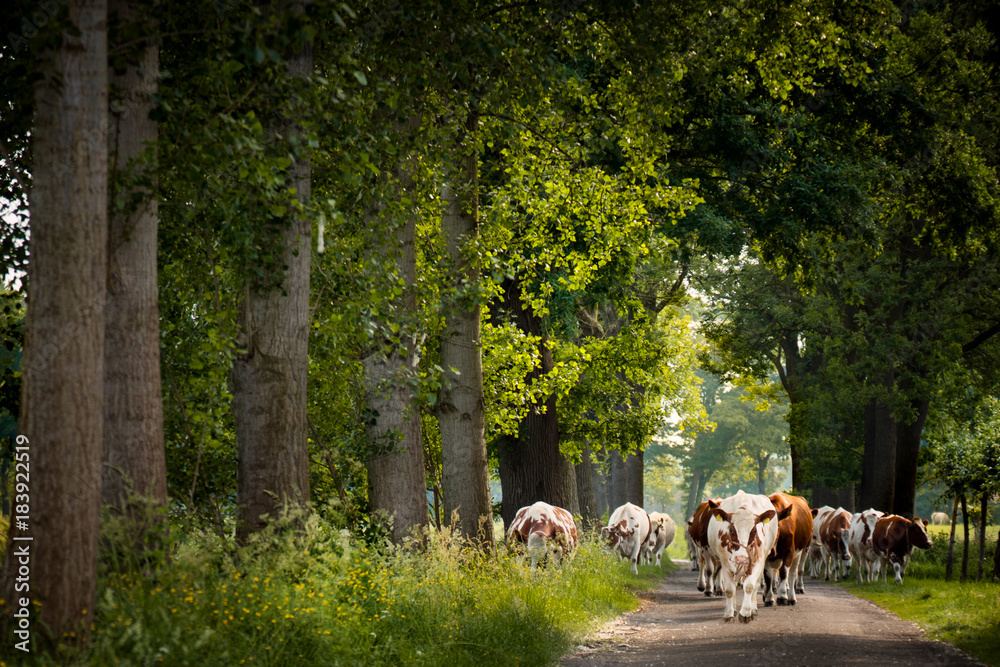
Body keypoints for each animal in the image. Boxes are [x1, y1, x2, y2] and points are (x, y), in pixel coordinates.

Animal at [708, 490, 776, 628]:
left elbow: (749, 586)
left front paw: (745, 613)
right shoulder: (725, 562)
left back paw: (753, 610)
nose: (741, 558)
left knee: (755, 586)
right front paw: (729, 614)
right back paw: (733, 609)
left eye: (754, 531)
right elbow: (729, 589)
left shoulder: (758, 561)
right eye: (731, 530)